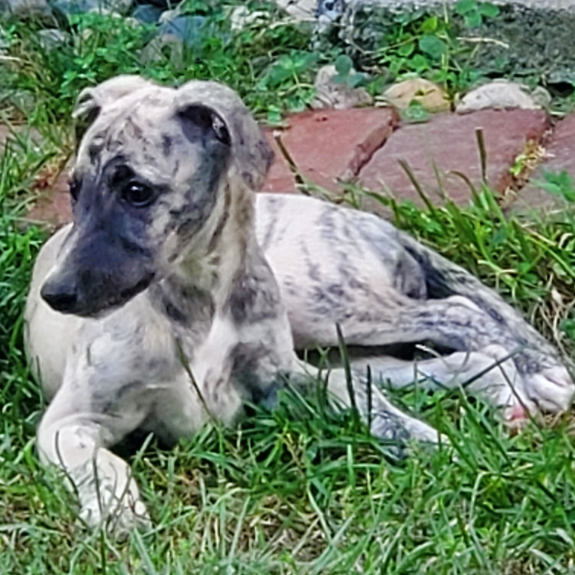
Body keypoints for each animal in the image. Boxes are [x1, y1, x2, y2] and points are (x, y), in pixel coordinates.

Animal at [24, 76, 575, 536]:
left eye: (136, 191)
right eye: (74, 189)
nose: (56, 294)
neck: (199, 298)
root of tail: (373, 221)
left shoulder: (281, 375)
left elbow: (362, 401)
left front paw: (424, 440)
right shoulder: (68, 422)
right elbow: (100, 462)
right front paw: (115, 508)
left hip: (325, 304)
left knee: (459, 311)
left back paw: (530, 376)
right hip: (334, 340)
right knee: (430, 362)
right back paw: (502, 390)